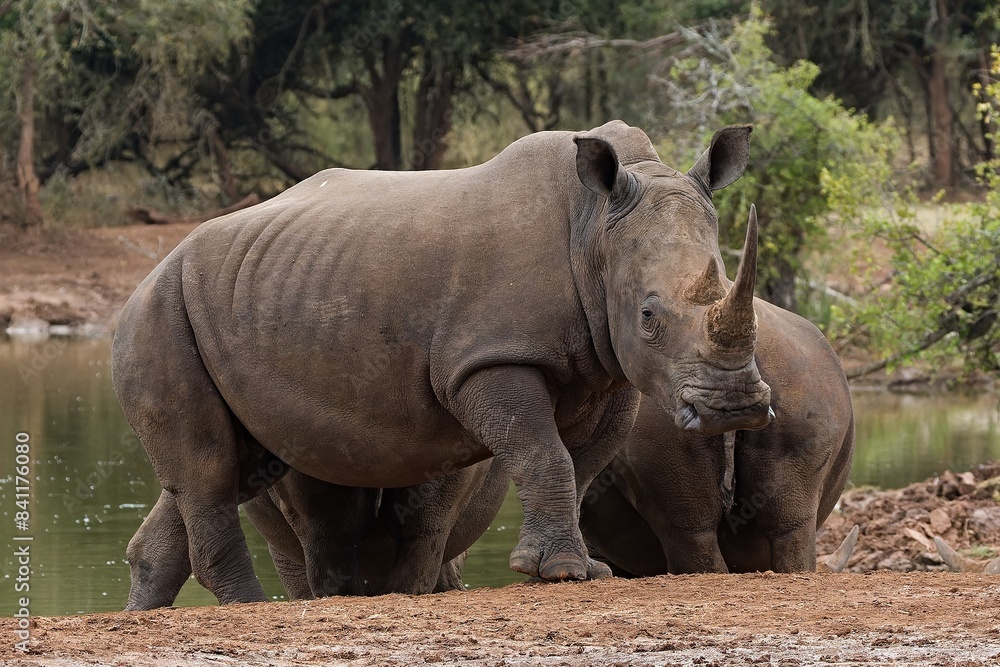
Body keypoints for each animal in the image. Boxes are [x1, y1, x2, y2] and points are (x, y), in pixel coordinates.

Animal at [112, 120, 773, 610]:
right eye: (648, 316)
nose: (735, 408)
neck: (594, 233)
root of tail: (148, 272)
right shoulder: (490, 360)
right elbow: (542, 451)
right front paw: (560, 572)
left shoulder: (610, 370)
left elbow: (583, 463)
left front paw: (573, 568)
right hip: (161, 312)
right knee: (208, 465)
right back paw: (250, 605)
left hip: (247, 295)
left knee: (239, 462)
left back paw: (149, 608)